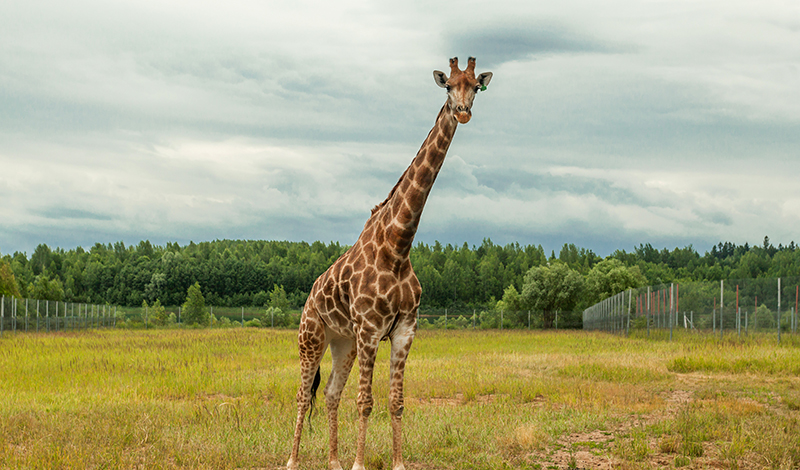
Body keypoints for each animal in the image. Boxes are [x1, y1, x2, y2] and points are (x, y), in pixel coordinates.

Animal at [284, 56, 490, 470]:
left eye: (476, 86)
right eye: (448, 86)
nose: (463, 112)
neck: (397, 247)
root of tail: (310, 295)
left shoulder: (404, 329)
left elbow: (396, 402)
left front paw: (396, 462)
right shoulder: (369, 329)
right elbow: (366, 402)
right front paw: (359, 463)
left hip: (341, 341)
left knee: (330, 393)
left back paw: (333, 461)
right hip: (311, 336)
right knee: (302, 394)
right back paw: (292, 461)